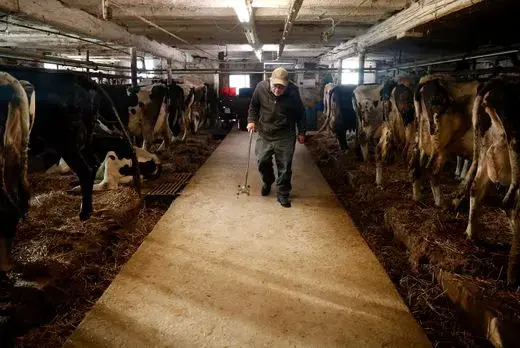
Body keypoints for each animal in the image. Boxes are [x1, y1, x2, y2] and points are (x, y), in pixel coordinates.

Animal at [0, 66, 140, 222]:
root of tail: (75, 77)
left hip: (66, 141)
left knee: (86, 170)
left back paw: (84, 213)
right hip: (85, 138)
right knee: (95, 163)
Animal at [410, 74, 480, 207]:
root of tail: (428, 80)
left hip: (423, 137)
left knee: (416, 164)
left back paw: (417, 196)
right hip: (441, 144)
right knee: (432, 172)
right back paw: (440, 202)